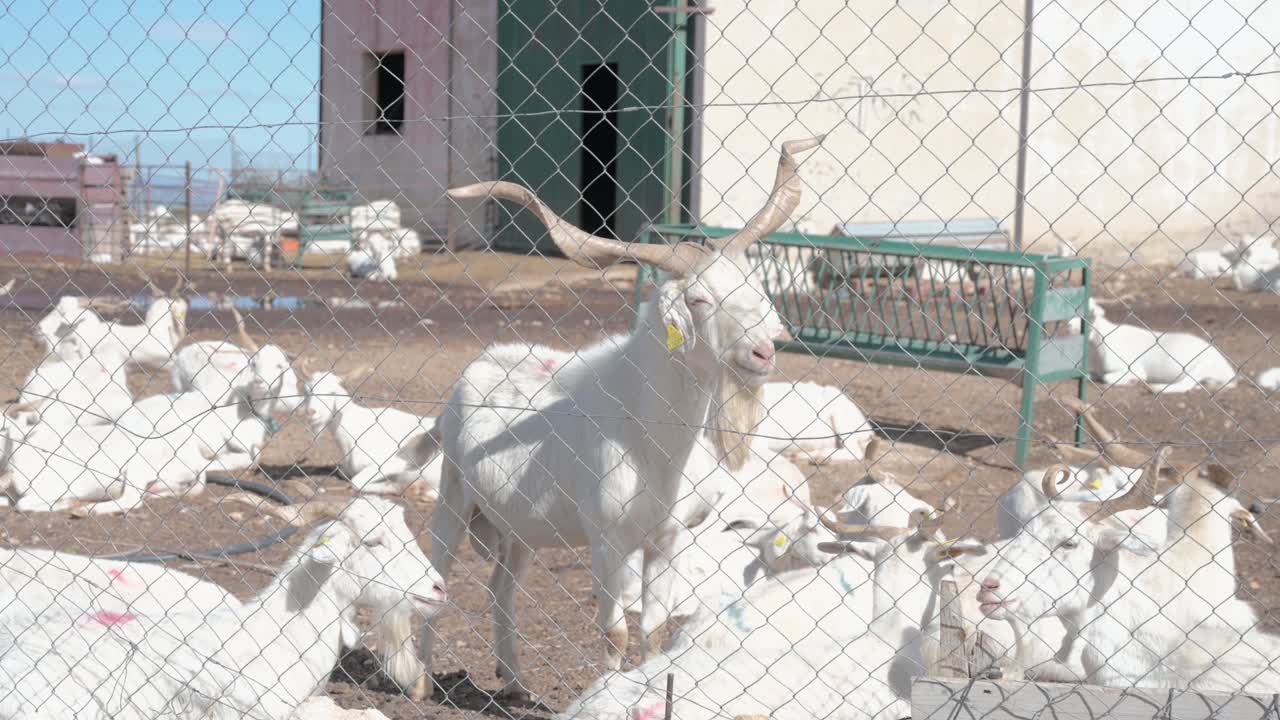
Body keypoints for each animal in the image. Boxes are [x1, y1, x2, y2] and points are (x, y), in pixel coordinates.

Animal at [302, 371, 440, 497]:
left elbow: (356, 482)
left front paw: (396, 487)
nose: (310, 412)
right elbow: (344, 473)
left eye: (332, 392)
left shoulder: (394, 462)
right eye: (308, 390)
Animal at [416, 136, 823, 700]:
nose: (763, 352)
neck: (650, 437)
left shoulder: (666, 541)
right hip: (453, 496)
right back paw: (419, 684)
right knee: (437, 576)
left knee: (503, 588)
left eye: (752, 286)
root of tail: (471, 374)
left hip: (518, 527)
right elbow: (615, 631)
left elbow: (652, 628)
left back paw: (516, 683)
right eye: (698, 298)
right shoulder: (607, 540)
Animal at [1087, 300, 1235, 393]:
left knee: (1186, 384)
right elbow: (1090, 374)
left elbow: (1107, 377)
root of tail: (1229, 372)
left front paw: (1133, 381)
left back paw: (1155, 388)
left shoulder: (1133, 368)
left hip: (1202, 365)